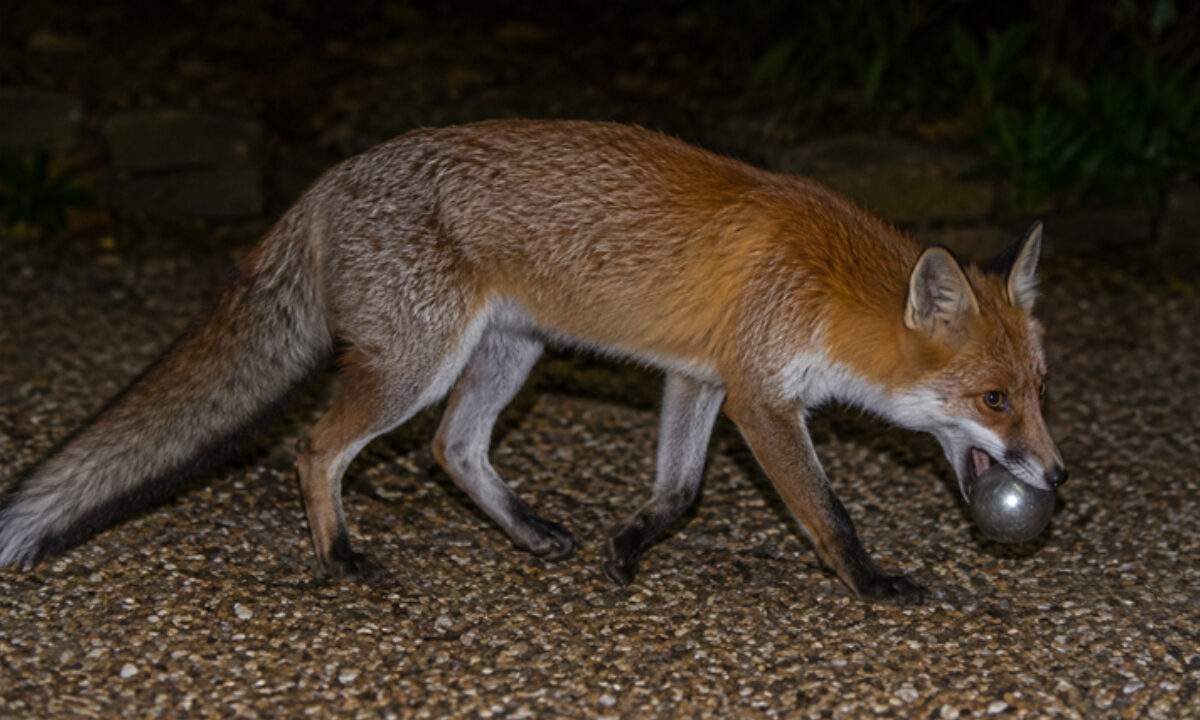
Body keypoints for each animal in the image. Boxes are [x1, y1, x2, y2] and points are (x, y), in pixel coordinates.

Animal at [0, 119, 1067, 604]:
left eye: (1038, 393)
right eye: (993, 398)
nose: (1057, 476)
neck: (826, 287)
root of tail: (326, 181)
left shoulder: (701, 374)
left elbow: (679, 492)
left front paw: (628, 547)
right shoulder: (762, 397)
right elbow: (826, 513)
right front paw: (873, 583)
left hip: (507, 356)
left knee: (451, 452)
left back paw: (526, 533)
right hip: (418, 364)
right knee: (316, 448)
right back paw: (340, 555)